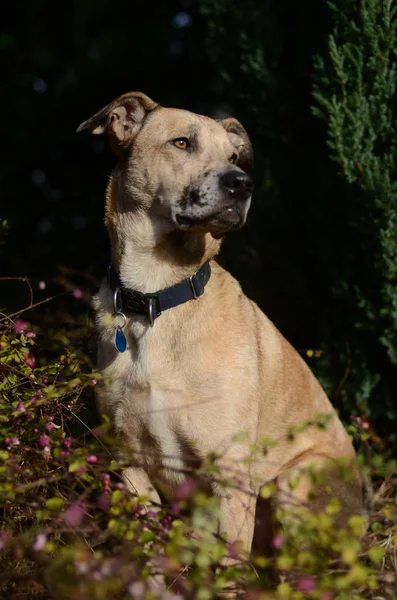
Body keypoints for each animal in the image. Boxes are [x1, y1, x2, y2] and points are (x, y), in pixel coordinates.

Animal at [76, 91, 362, 560]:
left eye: (233, 156)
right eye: (181, 143)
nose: (242, 184)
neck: (158, 298)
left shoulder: (231, 475)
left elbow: (227, 566)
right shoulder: (130, 462)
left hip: (294, 483)